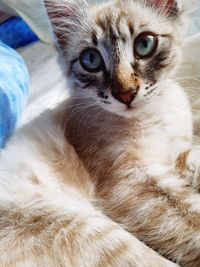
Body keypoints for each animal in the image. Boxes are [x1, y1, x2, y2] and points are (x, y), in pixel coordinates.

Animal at [0, 0, 199, 267]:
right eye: (91, 59)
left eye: (144, 44)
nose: (125, 94)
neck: (154, 112)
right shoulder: (131, 182)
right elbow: (191, 218)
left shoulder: (173, 154)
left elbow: (194, 159)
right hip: (91, 229)